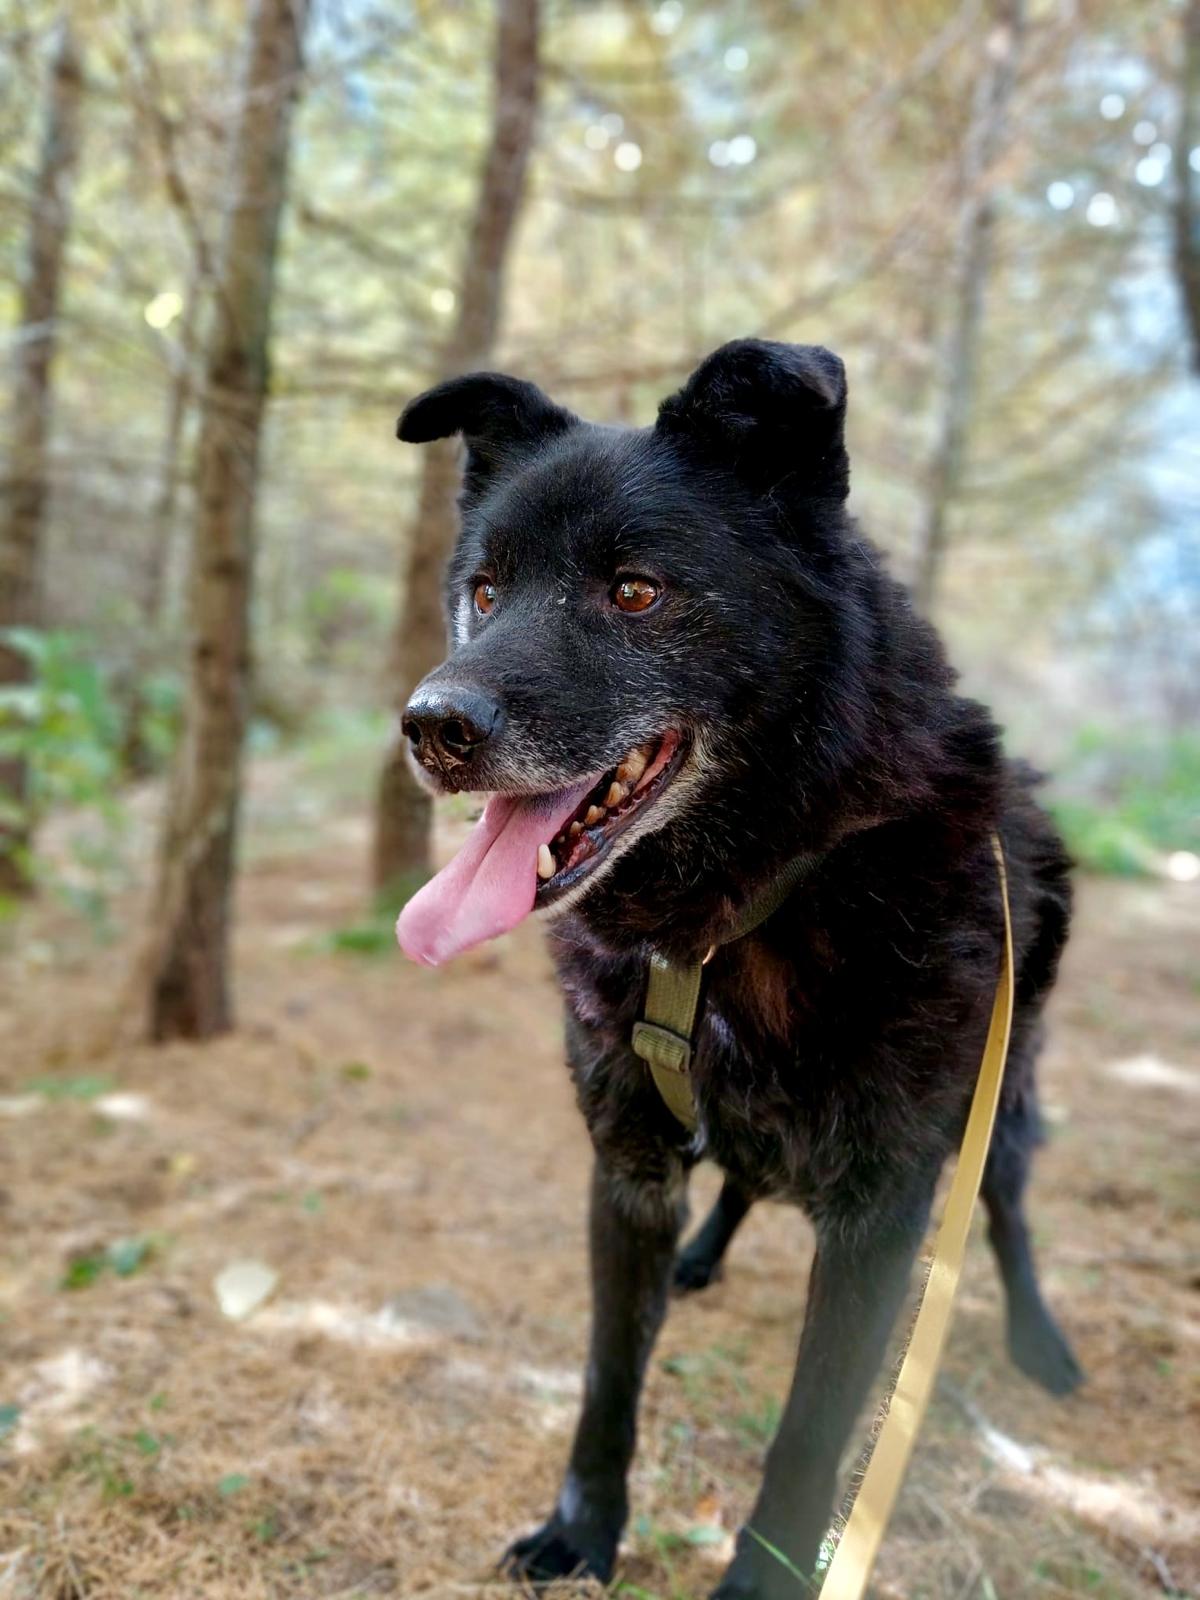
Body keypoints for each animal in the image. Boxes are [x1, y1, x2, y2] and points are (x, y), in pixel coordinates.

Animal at [393, 339, 1082, 1598]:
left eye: (635, 591)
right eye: (484, 590)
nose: (431, 726)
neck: (734, 915)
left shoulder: (883, 1210)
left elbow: (810, 1436)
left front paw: (761, 1578)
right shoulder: (628, 1167)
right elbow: (608, 1380)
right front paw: (582, 1532)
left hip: (1000, 1105)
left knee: (1007, 1206)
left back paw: (1038, 1339)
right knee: (751, 1177)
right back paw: (706, 1257)